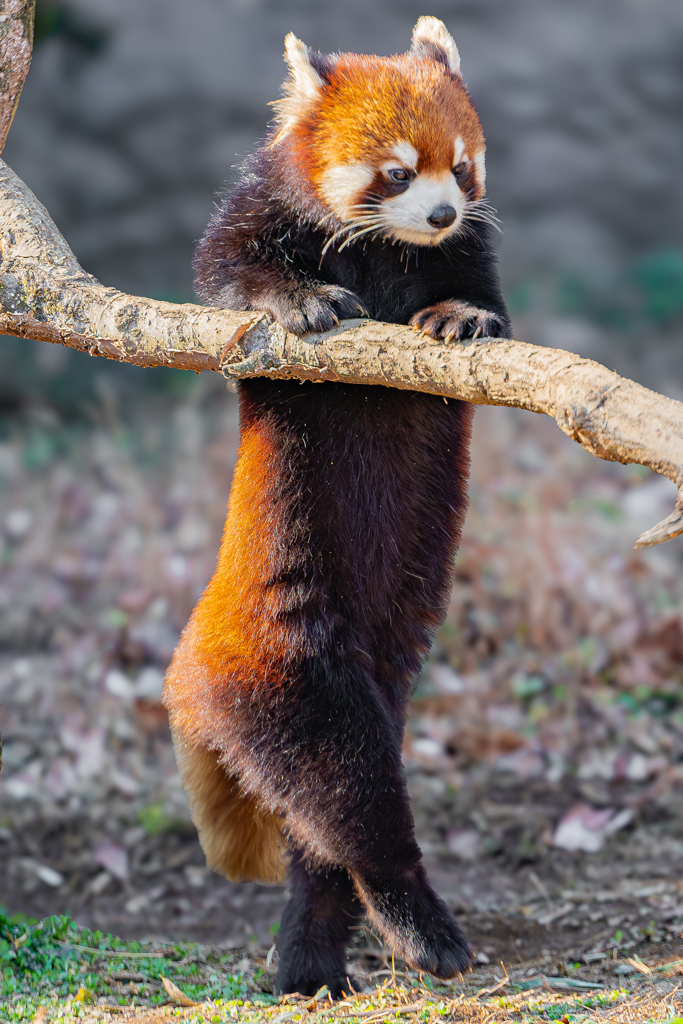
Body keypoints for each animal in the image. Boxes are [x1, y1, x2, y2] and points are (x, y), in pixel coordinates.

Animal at [162, 18, 509, 999]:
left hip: (383, 677)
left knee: (326, 835)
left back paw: (313, 956)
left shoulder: (468, 252)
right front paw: (302, 299)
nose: (440, 215)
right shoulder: (256, 214)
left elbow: (485, 300)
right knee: (347, 793)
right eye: (395, 171)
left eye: (460, 168)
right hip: (289, 670)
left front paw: (460, 315)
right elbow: (223, 269)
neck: (385, 250)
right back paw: (415, 923)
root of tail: (184, 673)